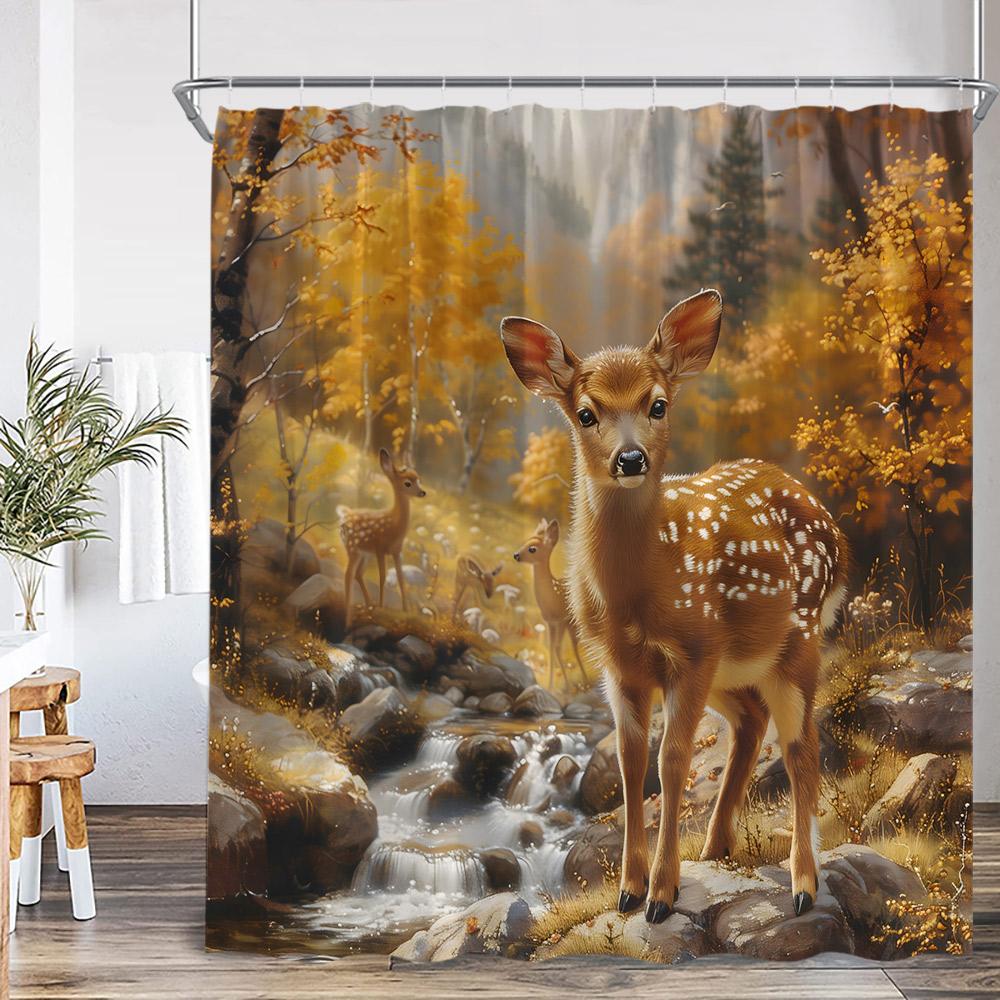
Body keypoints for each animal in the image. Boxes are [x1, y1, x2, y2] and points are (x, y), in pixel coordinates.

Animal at [338, 448, 426, 628]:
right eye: (407, 483)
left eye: (418, 479)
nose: (422, 492)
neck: (394, 526)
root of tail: (342, 520)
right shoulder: (380, 548)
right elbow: (383, 577)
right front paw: (381, 606)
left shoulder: (396, 551)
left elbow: (401, 579)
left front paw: (405, 610)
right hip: (353, 548)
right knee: (348, 574)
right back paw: (349, 617)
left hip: (364, 554)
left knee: (358, 574)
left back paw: (368, 604)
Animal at [513, 517, 586, 690]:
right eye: (526, 542)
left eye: (532, 549)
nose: (516, 555)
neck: (553, 598)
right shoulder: (551, 622)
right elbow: (552, 649)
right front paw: (551, 685)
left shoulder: (563, 620)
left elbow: (560, 648)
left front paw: (568, 686)